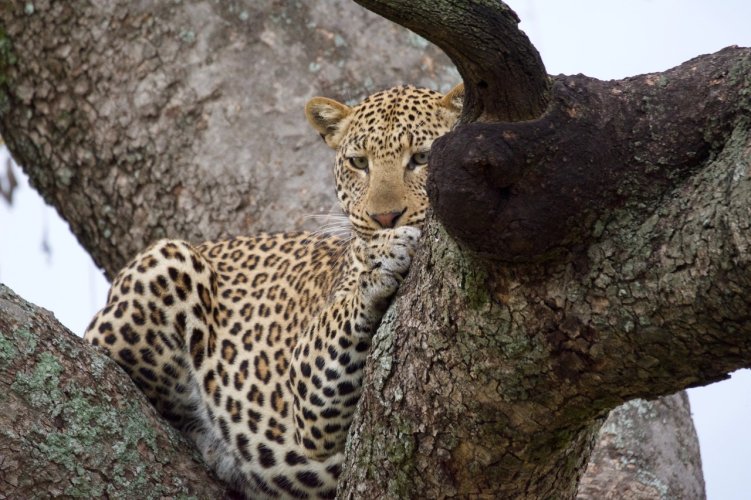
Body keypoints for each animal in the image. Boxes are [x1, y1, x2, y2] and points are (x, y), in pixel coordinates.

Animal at [83, 82, 464, 496]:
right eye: (359, 163)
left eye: (422, 157)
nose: (384, 218)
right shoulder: (307, 391)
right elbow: (346, 309)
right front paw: (384, 254)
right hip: (167, 260)